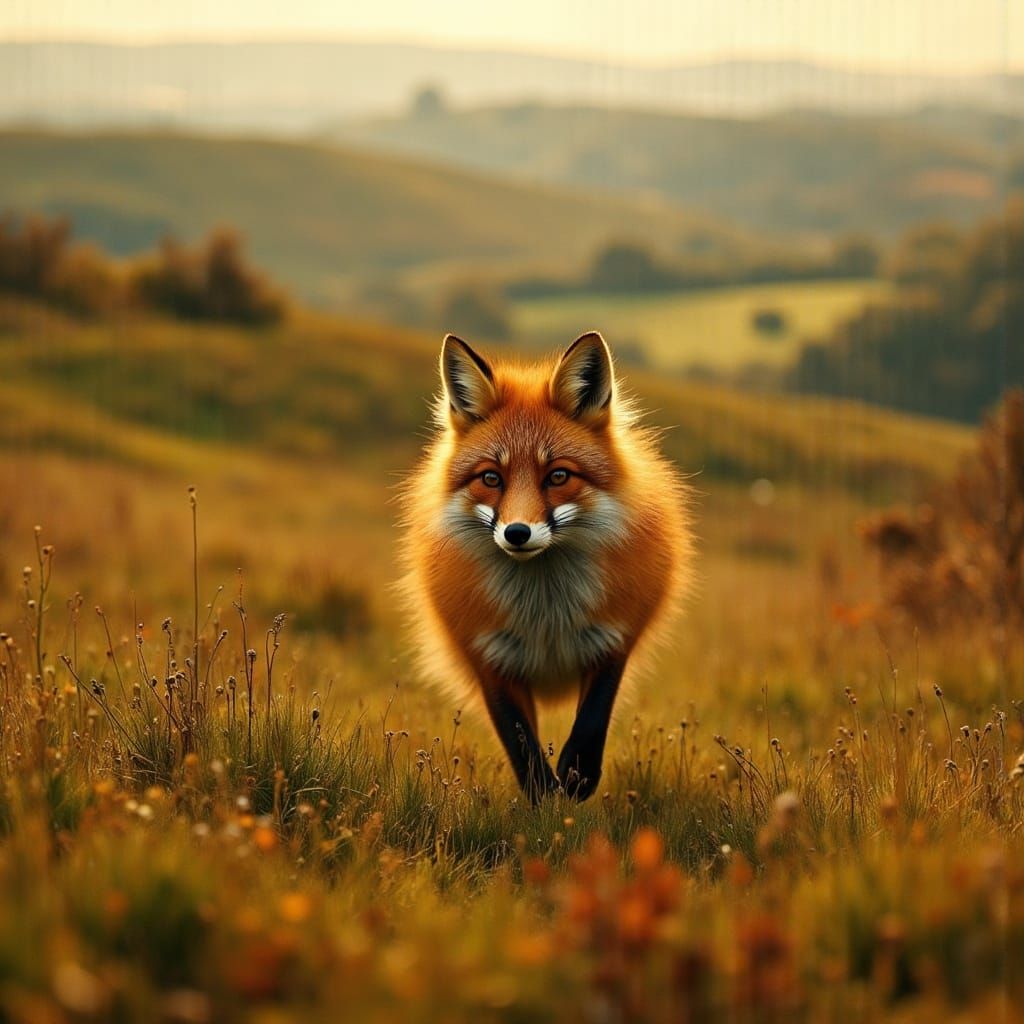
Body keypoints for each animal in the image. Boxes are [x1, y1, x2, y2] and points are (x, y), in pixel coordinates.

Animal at [400, 331, 691, 802]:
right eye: (491, 478)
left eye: (557, 476)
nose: (517, 533)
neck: (546, 614)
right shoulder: (488, 658)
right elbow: (521, 743)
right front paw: (544, 797)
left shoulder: (613, 641)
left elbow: (592, 720)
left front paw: (576, 776)